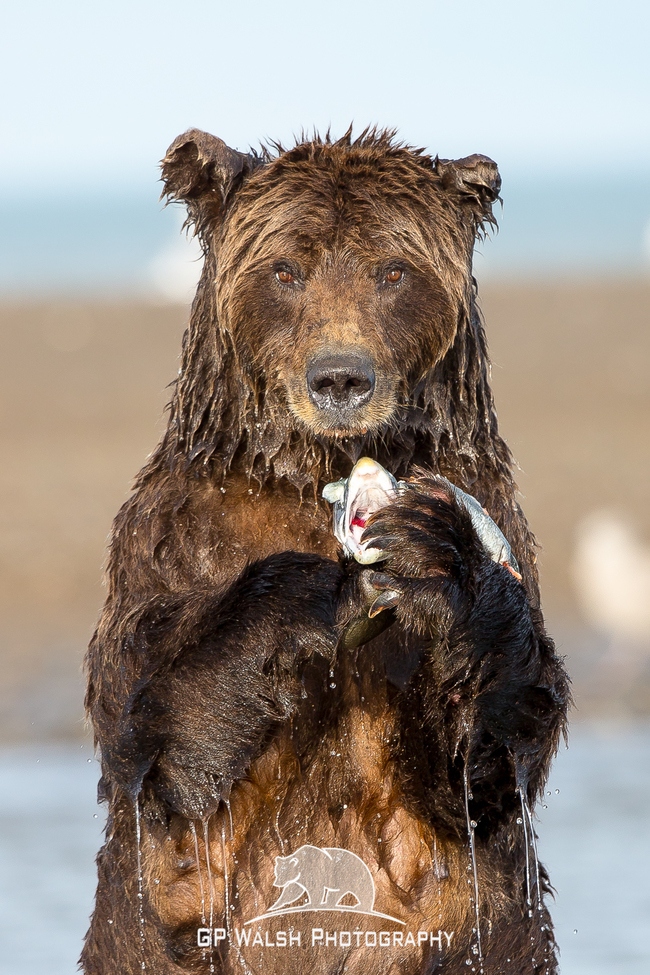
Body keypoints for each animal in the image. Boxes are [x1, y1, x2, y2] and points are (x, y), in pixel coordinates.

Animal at [81, 128, 569, 975]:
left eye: (393, 270)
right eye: (286, 269)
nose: (341, 376)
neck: (317, 469)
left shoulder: (495, 508)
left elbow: (484, 761)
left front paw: (434, 556)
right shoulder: (173, 539)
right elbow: (164, 743)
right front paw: (307, 591)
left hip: (493, 942)